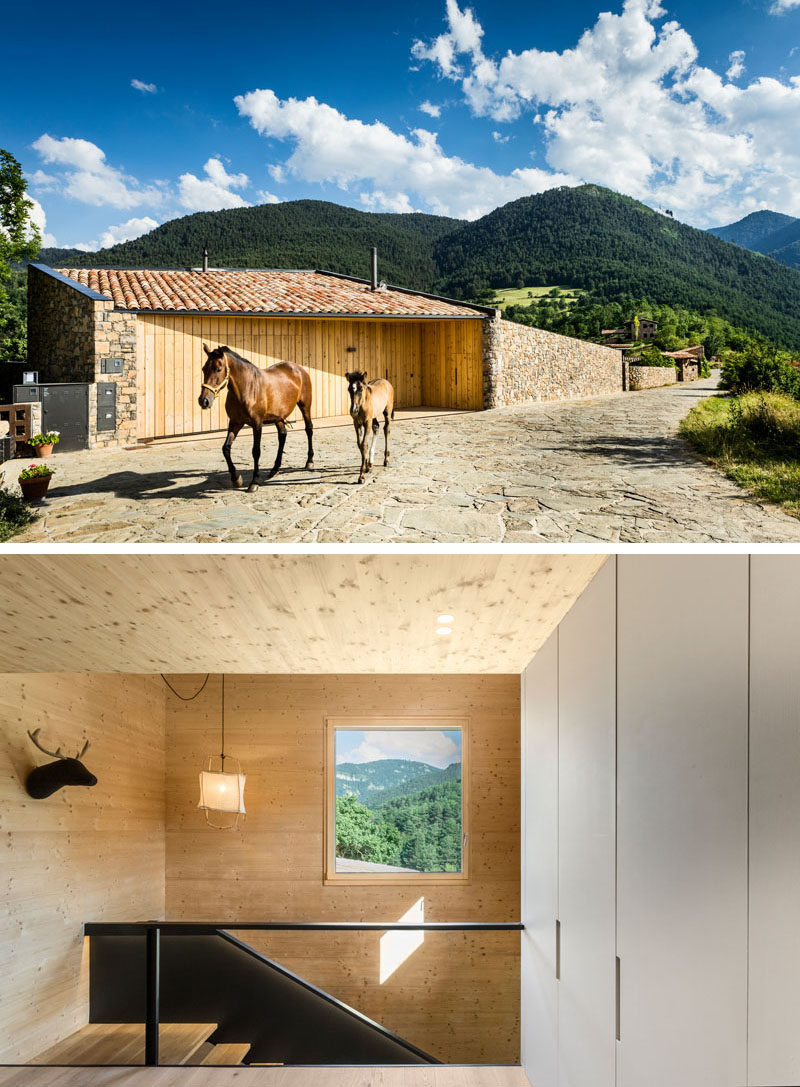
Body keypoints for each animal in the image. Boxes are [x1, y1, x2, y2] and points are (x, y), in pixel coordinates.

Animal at [198, 343, 313, 493]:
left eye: (218, 369)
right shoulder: (235, 423)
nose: (204, 401)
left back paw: (309, 462)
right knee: (282, 435)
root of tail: (298, 368)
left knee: (309, 429)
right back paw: (275, 469)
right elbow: (226, 448)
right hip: (278, 417)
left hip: (305, 406)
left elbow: (256, 451)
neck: (247, 388)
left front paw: (254, 482)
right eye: (204, 368)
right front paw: (236, 479)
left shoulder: (257, 424)